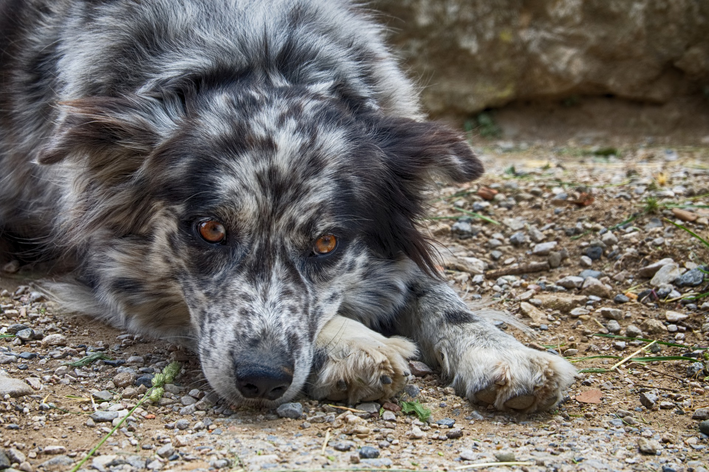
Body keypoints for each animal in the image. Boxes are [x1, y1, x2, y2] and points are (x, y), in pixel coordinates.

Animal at [1, 0, 576, 412]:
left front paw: (502, 352)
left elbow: (435, 290)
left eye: (326, 243)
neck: (254, 53)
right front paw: (351, 344)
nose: (261, 380)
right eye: (210, 230)